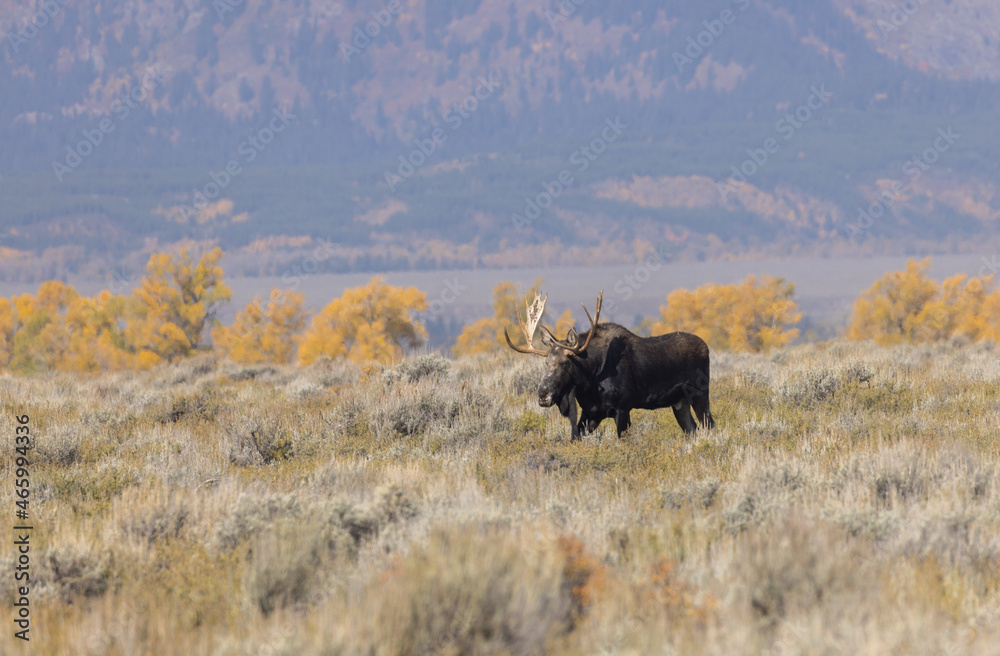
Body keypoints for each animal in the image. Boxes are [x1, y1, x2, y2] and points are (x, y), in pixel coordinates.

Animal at [504, 291, 714, 439]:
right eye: (546, 362)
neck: (589, 381)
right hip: (679, 402)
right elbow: (574, 438)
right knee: (692, 429)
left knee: (709, 425)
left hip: (699, 393)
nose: (543, 395)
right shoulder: (591, 413)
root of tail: (706, 347)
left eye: (565, 362)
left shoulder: (622, 409)